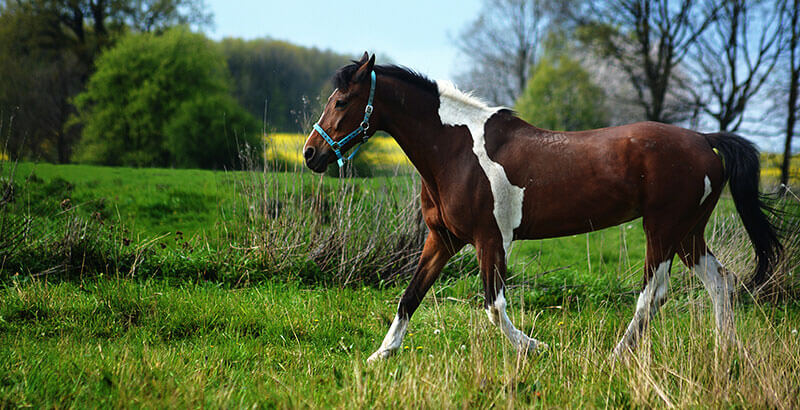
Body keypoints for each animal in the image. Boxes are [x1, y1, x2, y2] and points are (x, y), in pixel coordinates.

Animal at [302, 53, 782, 362]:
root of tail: (704, 140)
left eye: (341, 102)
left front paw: (536, 348)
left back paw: (617, 356)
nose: (310, 154)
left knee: (654, 295)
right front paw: (381, 355)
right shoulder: (443, 240)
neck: (454, 150)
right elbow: (410, 295)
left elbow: (494, 306)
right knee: (721, 282)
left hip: (662, 230)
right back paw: (726, 351)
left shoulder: (490, 240)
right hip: (688, 233)